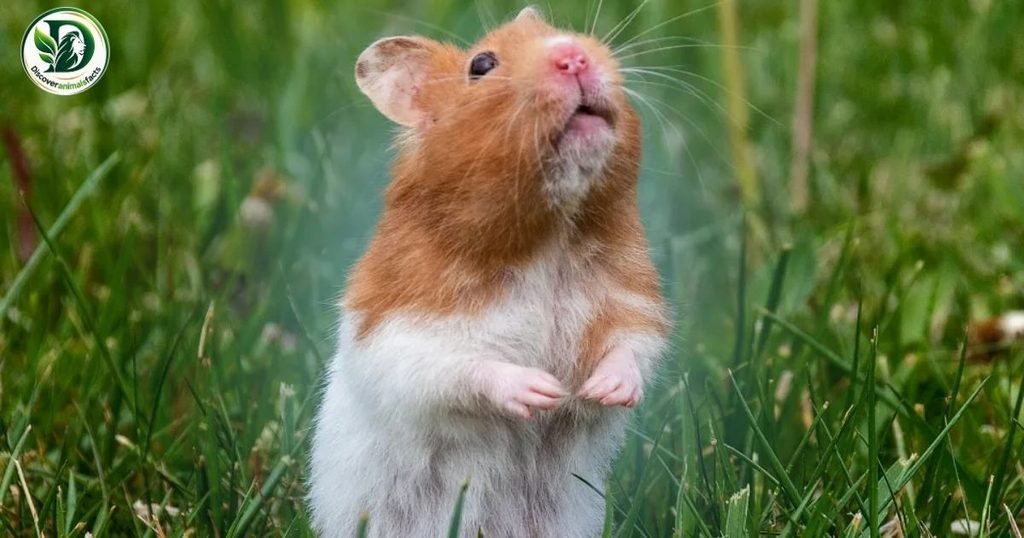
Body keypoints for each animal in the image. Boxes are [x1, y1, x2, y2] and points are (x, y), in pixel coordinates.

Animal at [309, 7, 668, 537]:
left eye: (558, 32)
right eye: (481, 65)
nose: (574, 55)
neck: (550, 237)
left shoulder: (632, 300)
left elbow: (630, 347)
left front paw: (600, 391)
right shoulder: (405, 336)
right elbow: (464, 369)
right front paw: (545, 392)